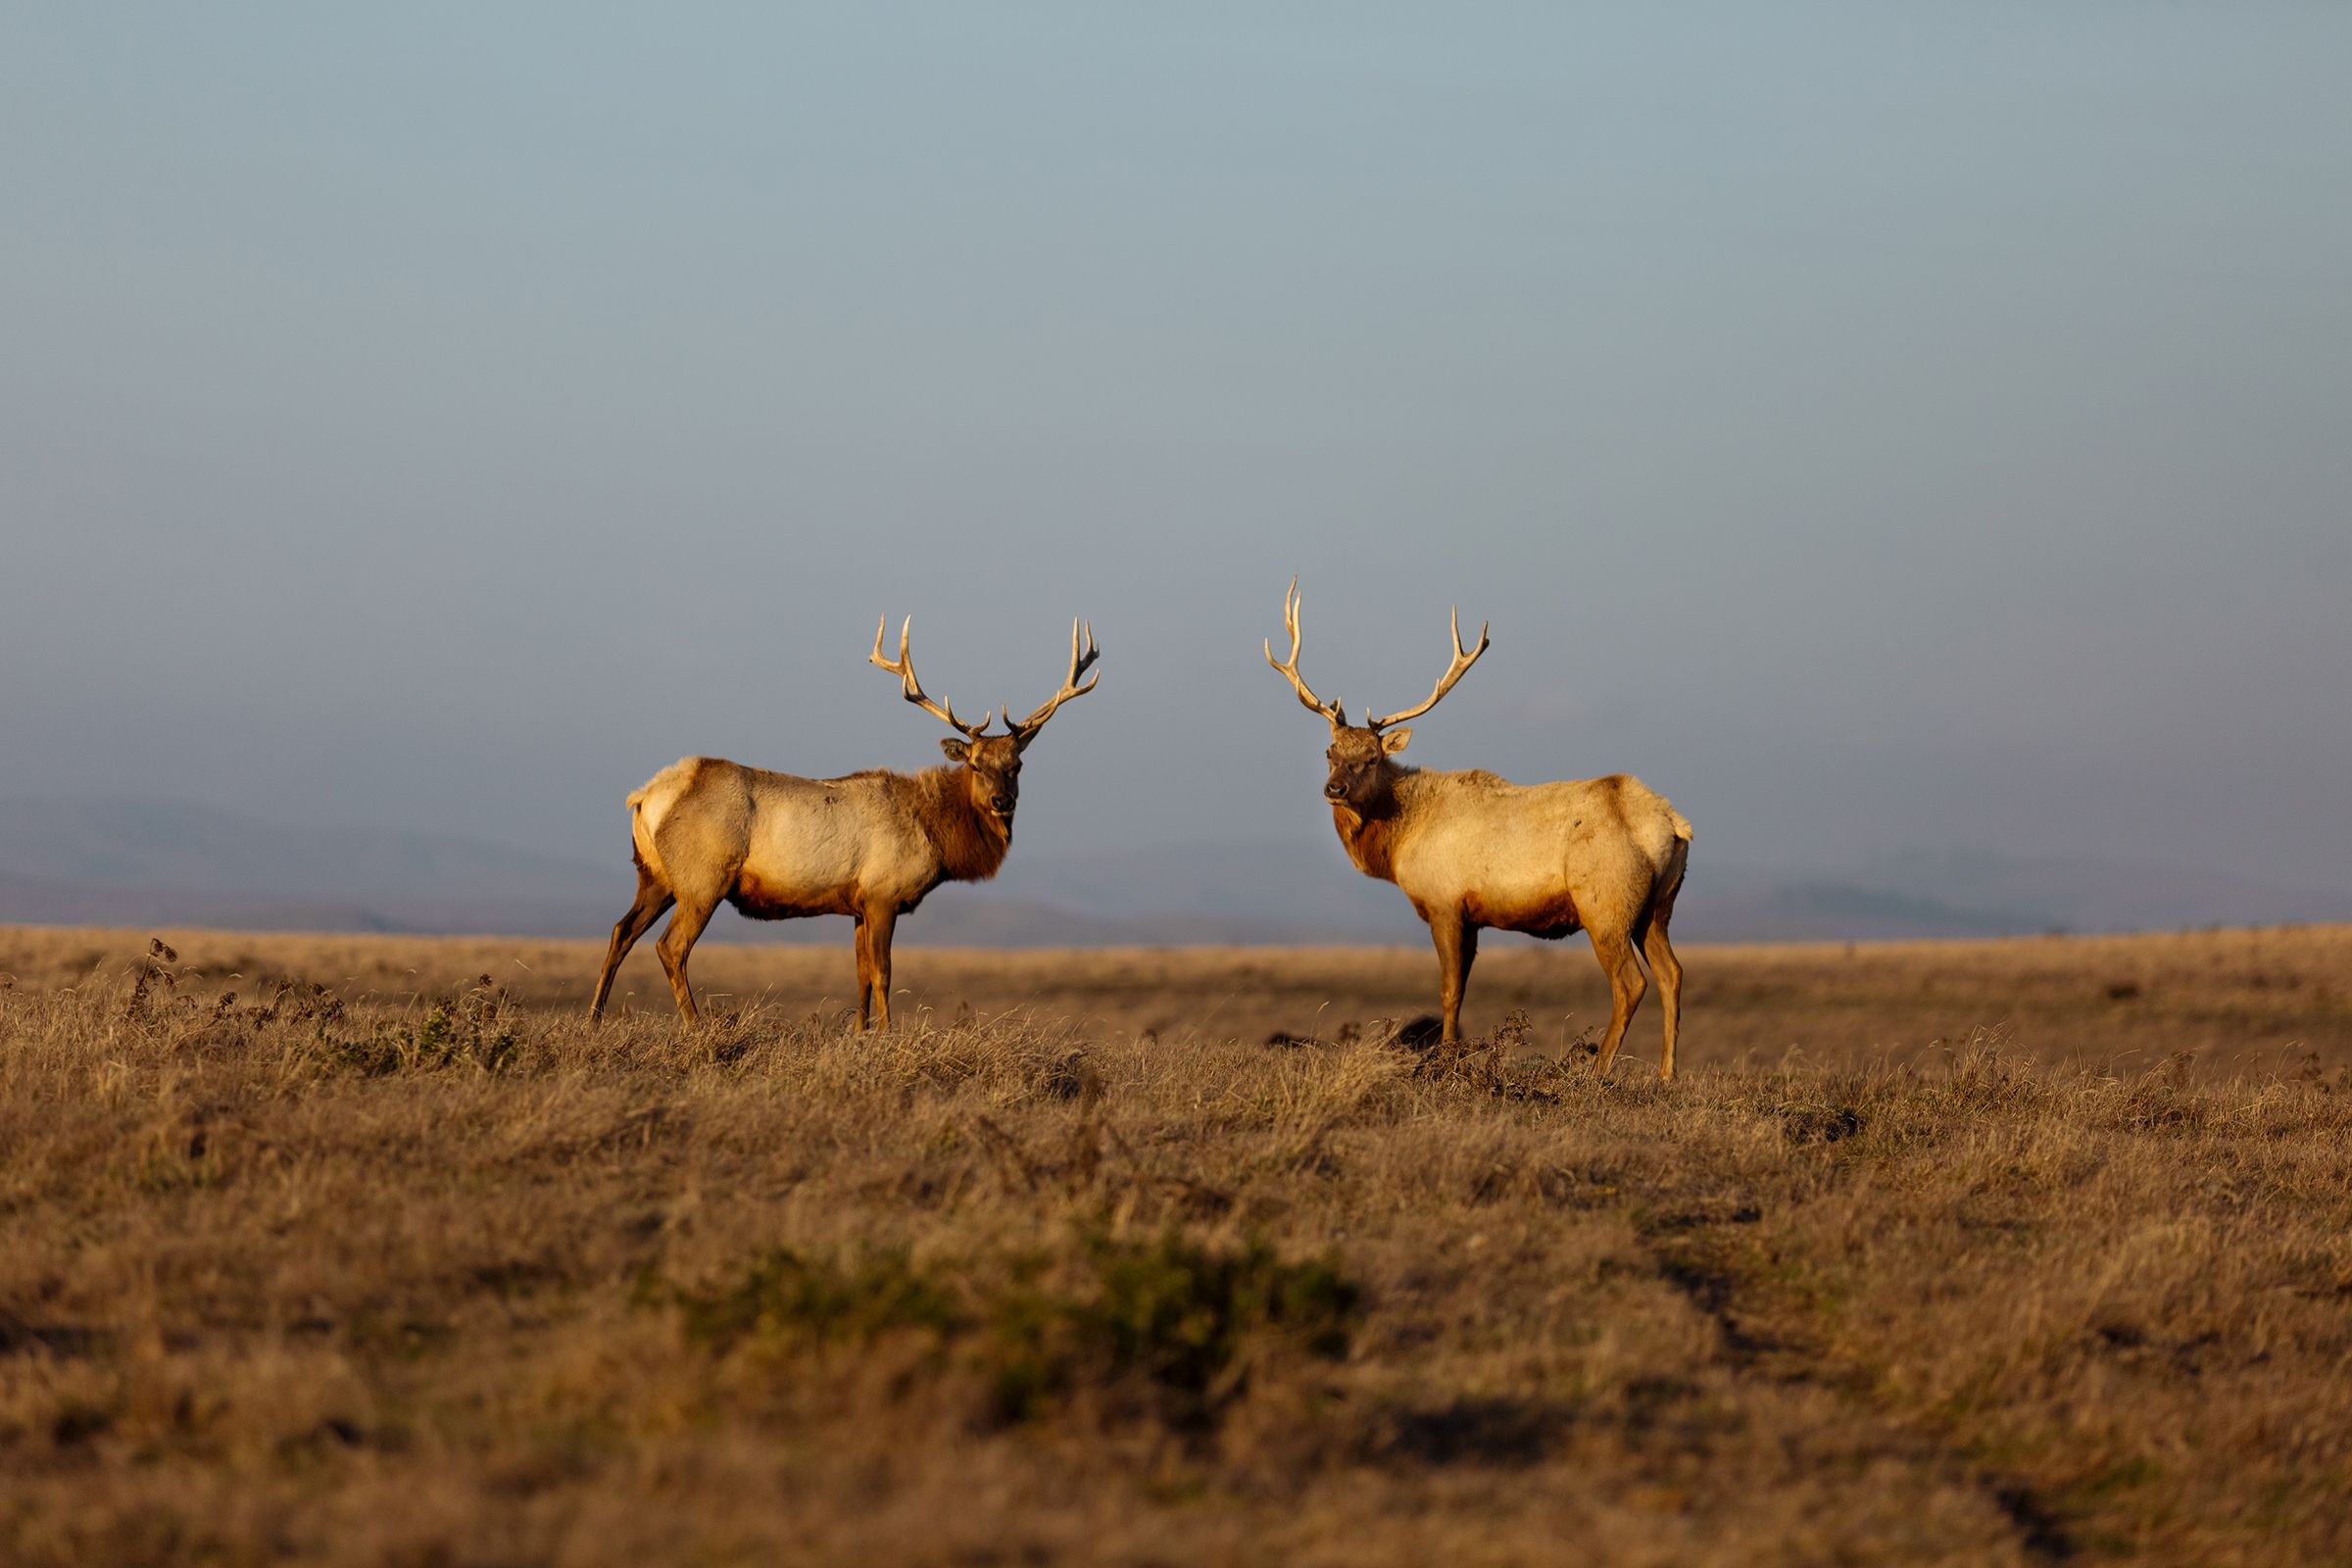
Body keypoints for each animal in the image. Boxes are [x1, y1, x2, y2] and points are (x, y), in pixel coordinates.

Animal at [588, 616, 1100, 1027]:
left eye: (1016, 765)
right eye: (975, 764)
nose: (1000, 801)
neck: (935, 835)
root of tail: (646, 797)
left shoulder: (856, 904)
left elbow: (860, 979)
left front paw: (859, 1036)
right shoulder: (883, 893)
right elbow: (883, 974)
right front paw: (888, 1037)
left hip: (654, 875)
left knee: (620, 931)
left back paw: (594, 1019)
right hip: (702, 879)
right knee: (670, 947)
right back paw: (696, 1027)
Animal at [1263, 578, 1693, 1077]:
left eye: (1371, 757)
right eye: (1330, 752)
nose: (1334, 788)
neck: (1398, 843)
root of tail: (1674, 825)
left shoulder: (1445, 902)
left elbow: (1450, 991)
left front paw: (1445, 1059)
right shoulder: (1473, 916)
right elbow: (1463, 990)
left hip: (1605, 902)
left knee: (1630, 983)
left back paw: (1596, 1070)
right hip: (1658, 906)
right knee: (1672, 973)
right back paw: (1666, 1075)